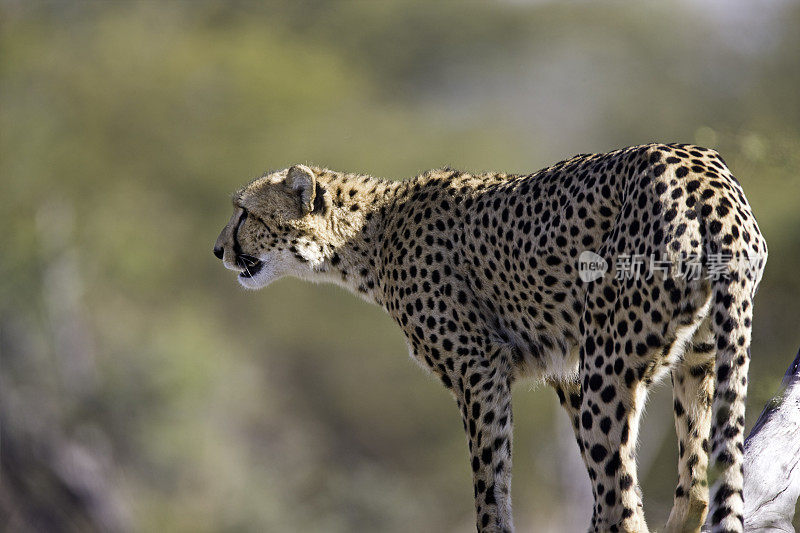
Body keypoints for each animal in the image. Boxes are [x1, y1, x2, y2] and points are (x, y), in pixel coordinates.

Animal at [214, 144, 768, 532]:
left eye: (245, 212)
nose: (218, 249)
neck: (368, 235)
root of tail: (701, 171)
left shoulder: (478, 366)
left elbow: (490, 480)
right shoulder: (565, 368)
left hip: (611, 367)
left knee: (625, 504)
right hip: (697, 353)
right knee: (693, 487)